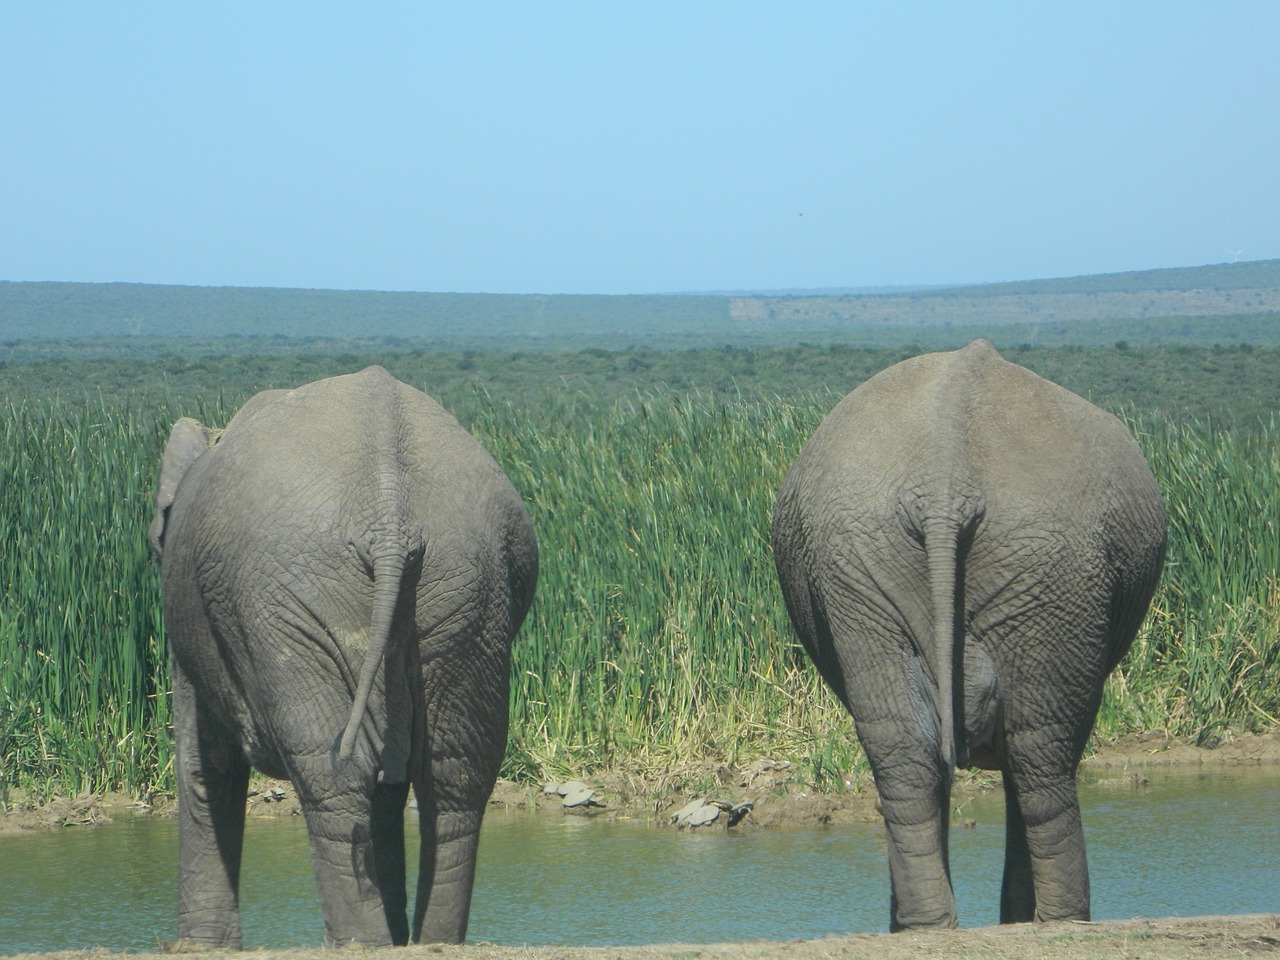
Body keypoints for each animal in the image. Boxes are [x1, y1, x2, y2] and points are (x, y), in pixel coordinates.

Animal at [151, 366, 540, 947]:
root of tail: (390, 511)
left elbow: (204, 760)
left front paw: (200, 948)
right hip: (472, 585)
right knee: (455, 769)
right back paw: (425, 941)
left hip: (287, 599)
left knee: (332, 771)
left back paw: (356, 942)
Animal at [768, 340, 1172, 931]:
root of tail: (944, 485)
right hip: (1053, 566)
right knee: (1042, 752)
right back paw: (1060, 923)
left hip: (858, 555)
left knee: (903, 750)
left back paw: (924, 927)